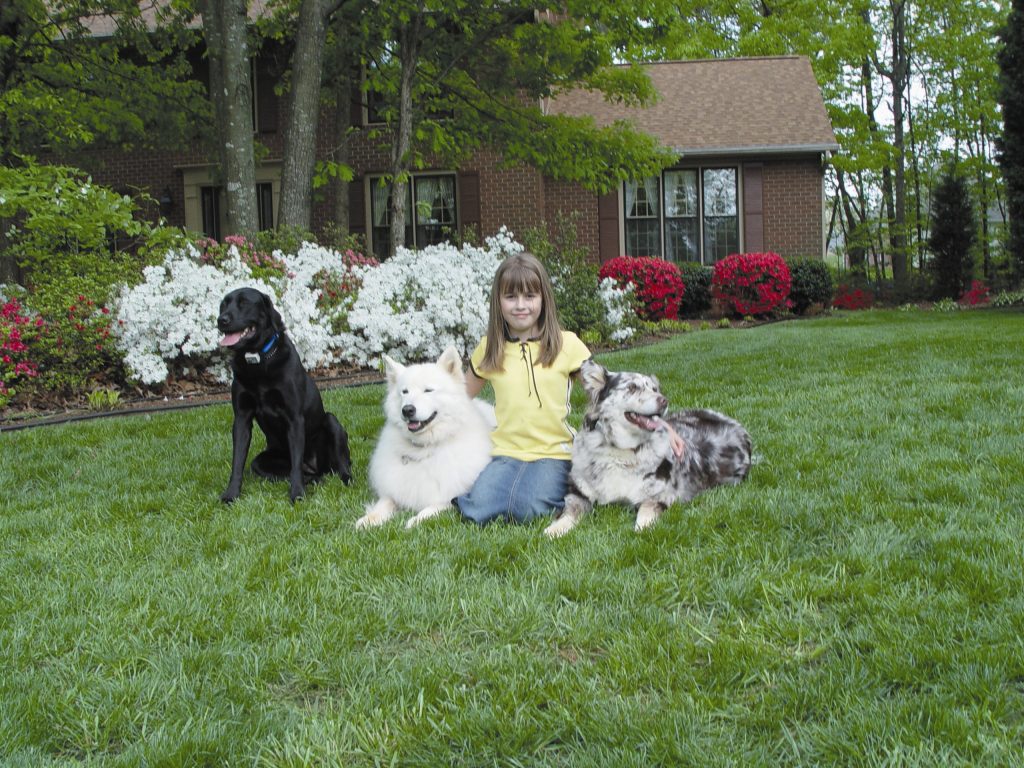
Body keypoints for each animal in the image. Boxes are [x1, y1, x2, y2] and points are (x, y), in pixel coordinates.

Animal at [216, 286, 352, 501]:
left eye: (244, 303)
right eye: (224, 304)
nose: (221, 320)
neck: (259, 363)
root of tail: (314, 466)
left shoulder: (294, 417)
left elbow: (296, 465)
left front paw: (297, 494)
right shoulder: (241, 418)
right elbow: (237, 462)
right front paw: (231, 494)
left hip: (332, 422)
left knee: (338, 464)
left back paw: (345, 478)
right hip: (262, 461)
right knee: (298, 473)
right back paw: (314, 480)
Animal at [358, 348, 493, 528]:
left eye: (428, 390)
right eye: (404, 392)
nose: (407, 410)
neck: (424, 447)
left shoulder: (452, 497)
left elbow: (431, 508)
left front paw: (415, 520)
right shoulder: (393, 491)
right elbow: (384, 502)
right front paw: (368, 520)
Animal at [544, 362, 753, 536]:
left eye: (654, 389)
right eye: (632, 387)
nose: (664, 400)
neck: (621, 451)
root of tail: (737, 425)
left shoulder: (663, 495)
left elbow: (645, 511)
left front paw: (642, 528)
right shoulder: (578, 492)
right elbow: (570, 511)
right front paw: (555, 530)